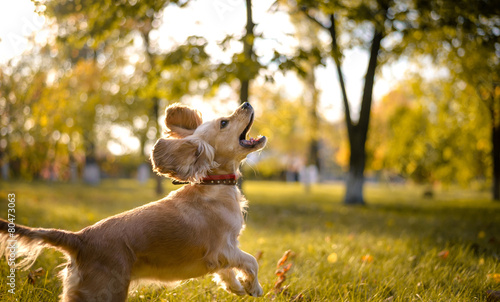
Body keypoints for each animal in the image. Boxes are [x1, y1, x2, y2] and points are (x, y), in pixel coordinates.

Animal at [0, 102, 268, 300]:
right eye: (224, 123)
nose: (246, 103)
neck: (214, 185)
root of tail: (80, 239)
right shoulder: (223, 247)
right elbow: (252, 261)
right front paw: (254, 288)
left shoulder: (223, 253)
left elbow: (227, 272)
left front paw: (237, 287)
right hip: (106, 291)